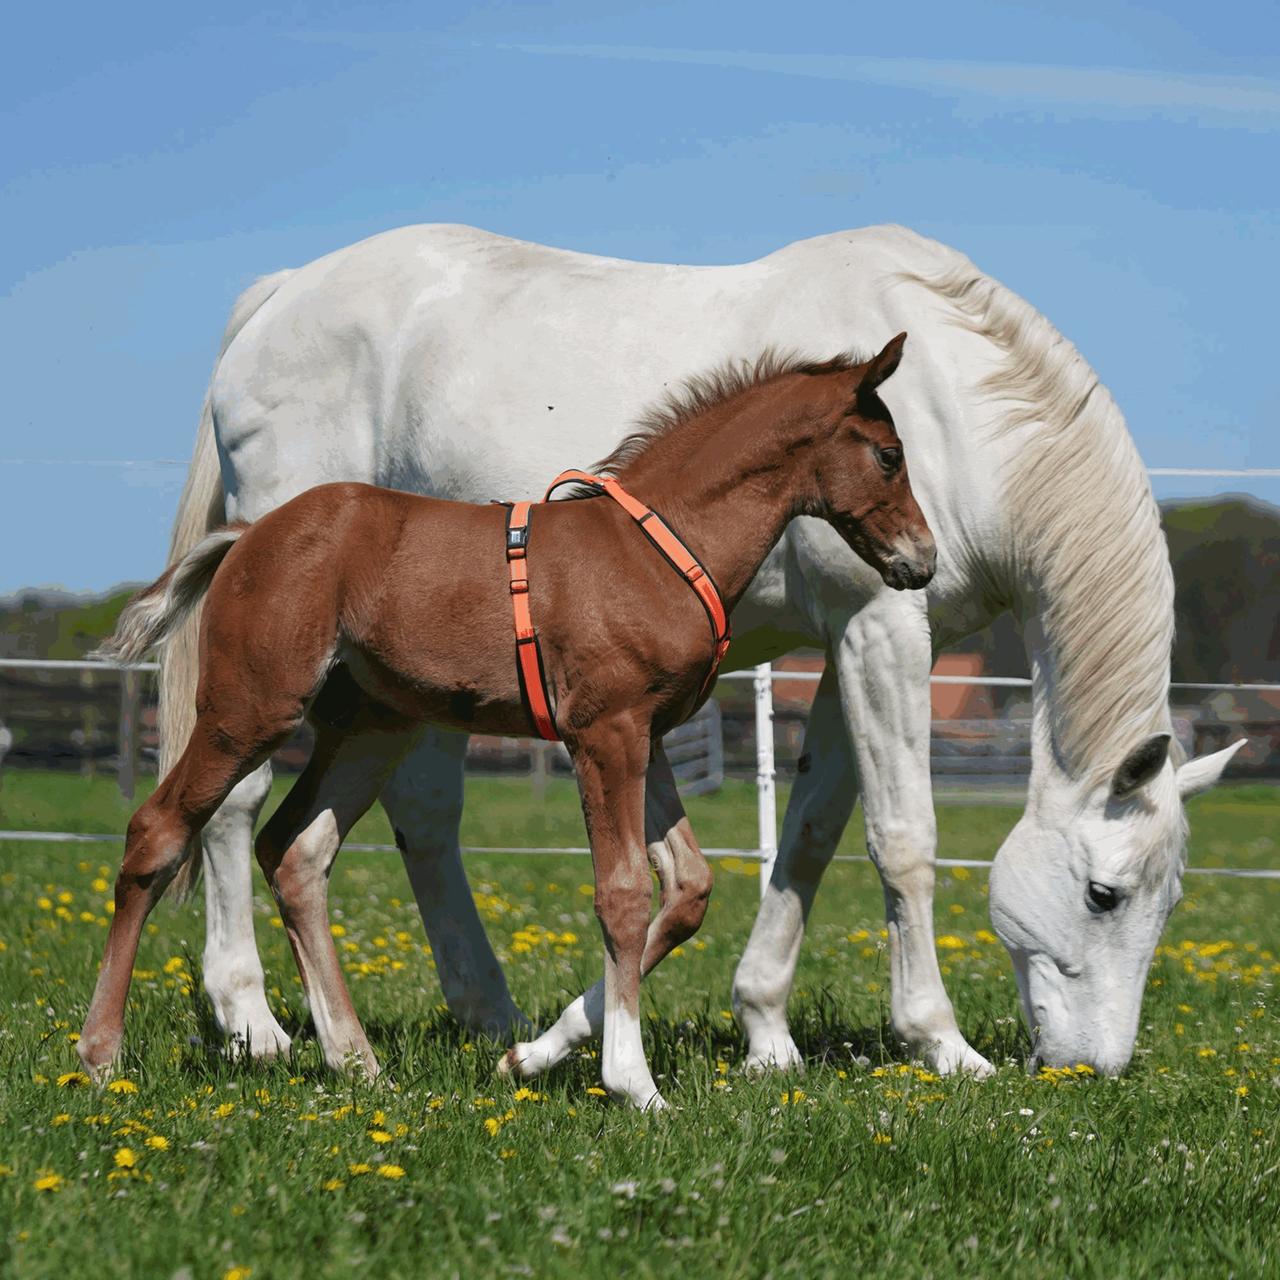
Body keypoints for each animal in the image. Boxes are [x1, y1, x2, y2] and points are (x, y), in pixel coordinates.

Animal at [85, 332, 936, 1111]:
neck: (656, 548)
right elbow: (622, 894)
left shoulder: (647, 736)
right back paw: (102, 1052)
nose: (921, 561)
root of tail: (247, 536)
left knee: (295, 852)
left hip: (370, 728)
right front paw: (633, 1084)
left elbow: (687, 889)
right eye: (889, 455)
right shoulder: (603, 734)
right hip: (250, 709)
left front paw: (531, 1055)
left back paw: (354, 1061)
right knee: (159, 830)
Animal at [157, 225, 1239, 1075]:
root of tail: (281, 295)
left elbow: (807, 835)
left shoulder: (851, 647)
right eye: (1102, 894)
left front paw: (758, 1031)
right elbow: (902, 841)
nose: (1092, 1068)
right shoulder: (881, 630)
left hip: (409, 685)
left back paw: (488, 1015)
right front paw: (940, 1042)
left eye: (1168, 901)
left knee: (420, 816)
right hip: (287, 674)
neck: (954, 407)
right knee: (233, 805)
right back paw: (253, 1024)